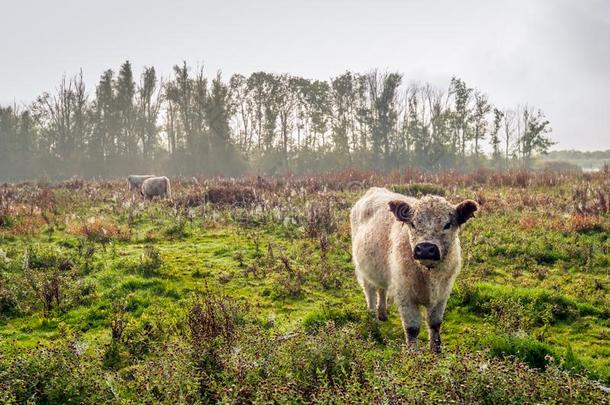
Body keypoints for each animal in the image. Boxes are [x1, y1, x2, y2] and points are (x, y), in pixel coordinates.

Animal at [350, 186, 478, 350]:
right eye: (413, 224)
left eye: (447, 224)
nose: (425, 248)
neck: (429, 276)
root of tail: (374, 190)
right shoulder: (405, 295)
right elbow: (412, 328)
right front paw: (413, 354)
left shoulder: (442, 295)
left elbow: (435, 324)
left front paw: (436, 350)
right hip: (364, 271)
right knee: (370, 294)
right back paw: (372, 318)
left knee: (382, 290)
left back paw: (382, 314)